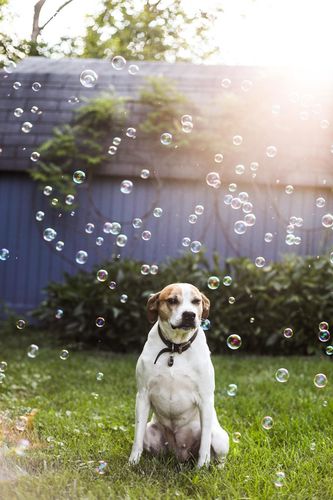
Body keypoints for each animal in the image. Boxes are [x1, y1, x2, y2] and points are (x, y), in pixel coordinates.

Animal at [128, 286, 230, 468]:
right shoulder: (142, 395)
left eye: (196, 301)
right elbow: (137, 438)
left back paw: (217, 468)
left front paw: (202, 467)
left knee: (218, 454)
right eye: (172, 301)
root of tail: (179, 454)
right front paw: (133, 462)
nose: (189, 314)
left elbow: (205, 442)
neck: (175, 348)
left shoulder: (205, 398)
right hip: (151, 432)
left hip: (220, 438)